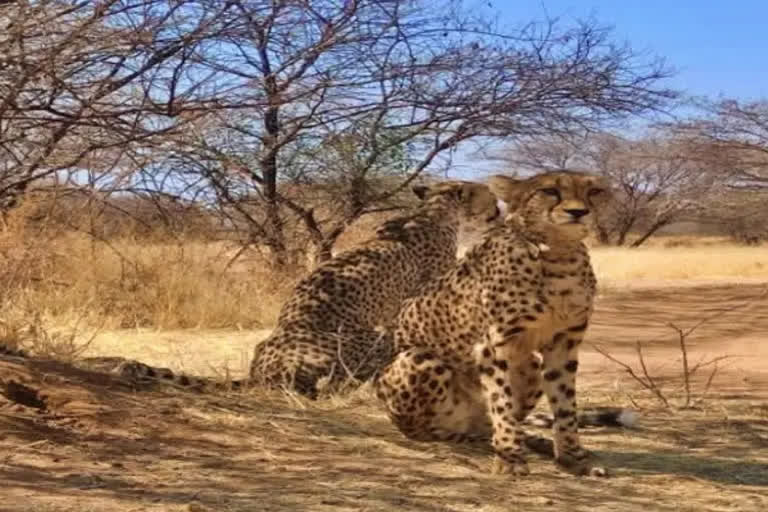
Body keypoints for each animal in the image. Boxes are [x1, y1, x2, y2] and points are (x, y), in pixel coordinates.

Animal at [374, 171, 632, 476]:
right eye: (550, 191)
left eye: (593, 192)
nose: (579, 212)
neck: (558, 252)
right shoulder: (493, 344)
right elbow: (501, 401)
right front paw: (510, 458)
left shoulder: (564, 342)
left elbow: (565, 404)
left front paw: (573, 457)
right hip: (415, 360)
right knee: (431, 430)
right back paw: (465, 439)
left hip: (530, 366)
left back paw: (534, 442)